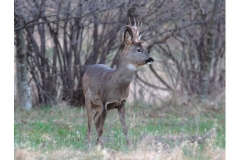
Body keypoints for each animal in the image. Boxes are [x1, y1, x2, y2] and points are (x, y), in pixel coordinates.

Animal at [82, 17, 154, 146]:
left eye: (144, 48)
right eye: (139, 49)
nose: (151, 59)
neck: (117, 85)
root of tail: (87, 69)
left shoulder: (121, 103)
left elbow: (125, 127)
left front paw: (129, 145)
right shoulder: (105, 102)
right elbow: (101, 128)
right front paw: (96, 146)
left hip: (98, 106)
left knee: (95, 119)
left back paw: (100, 142)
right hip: (88, 98)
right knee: (89, 122)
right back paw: (89, 143)